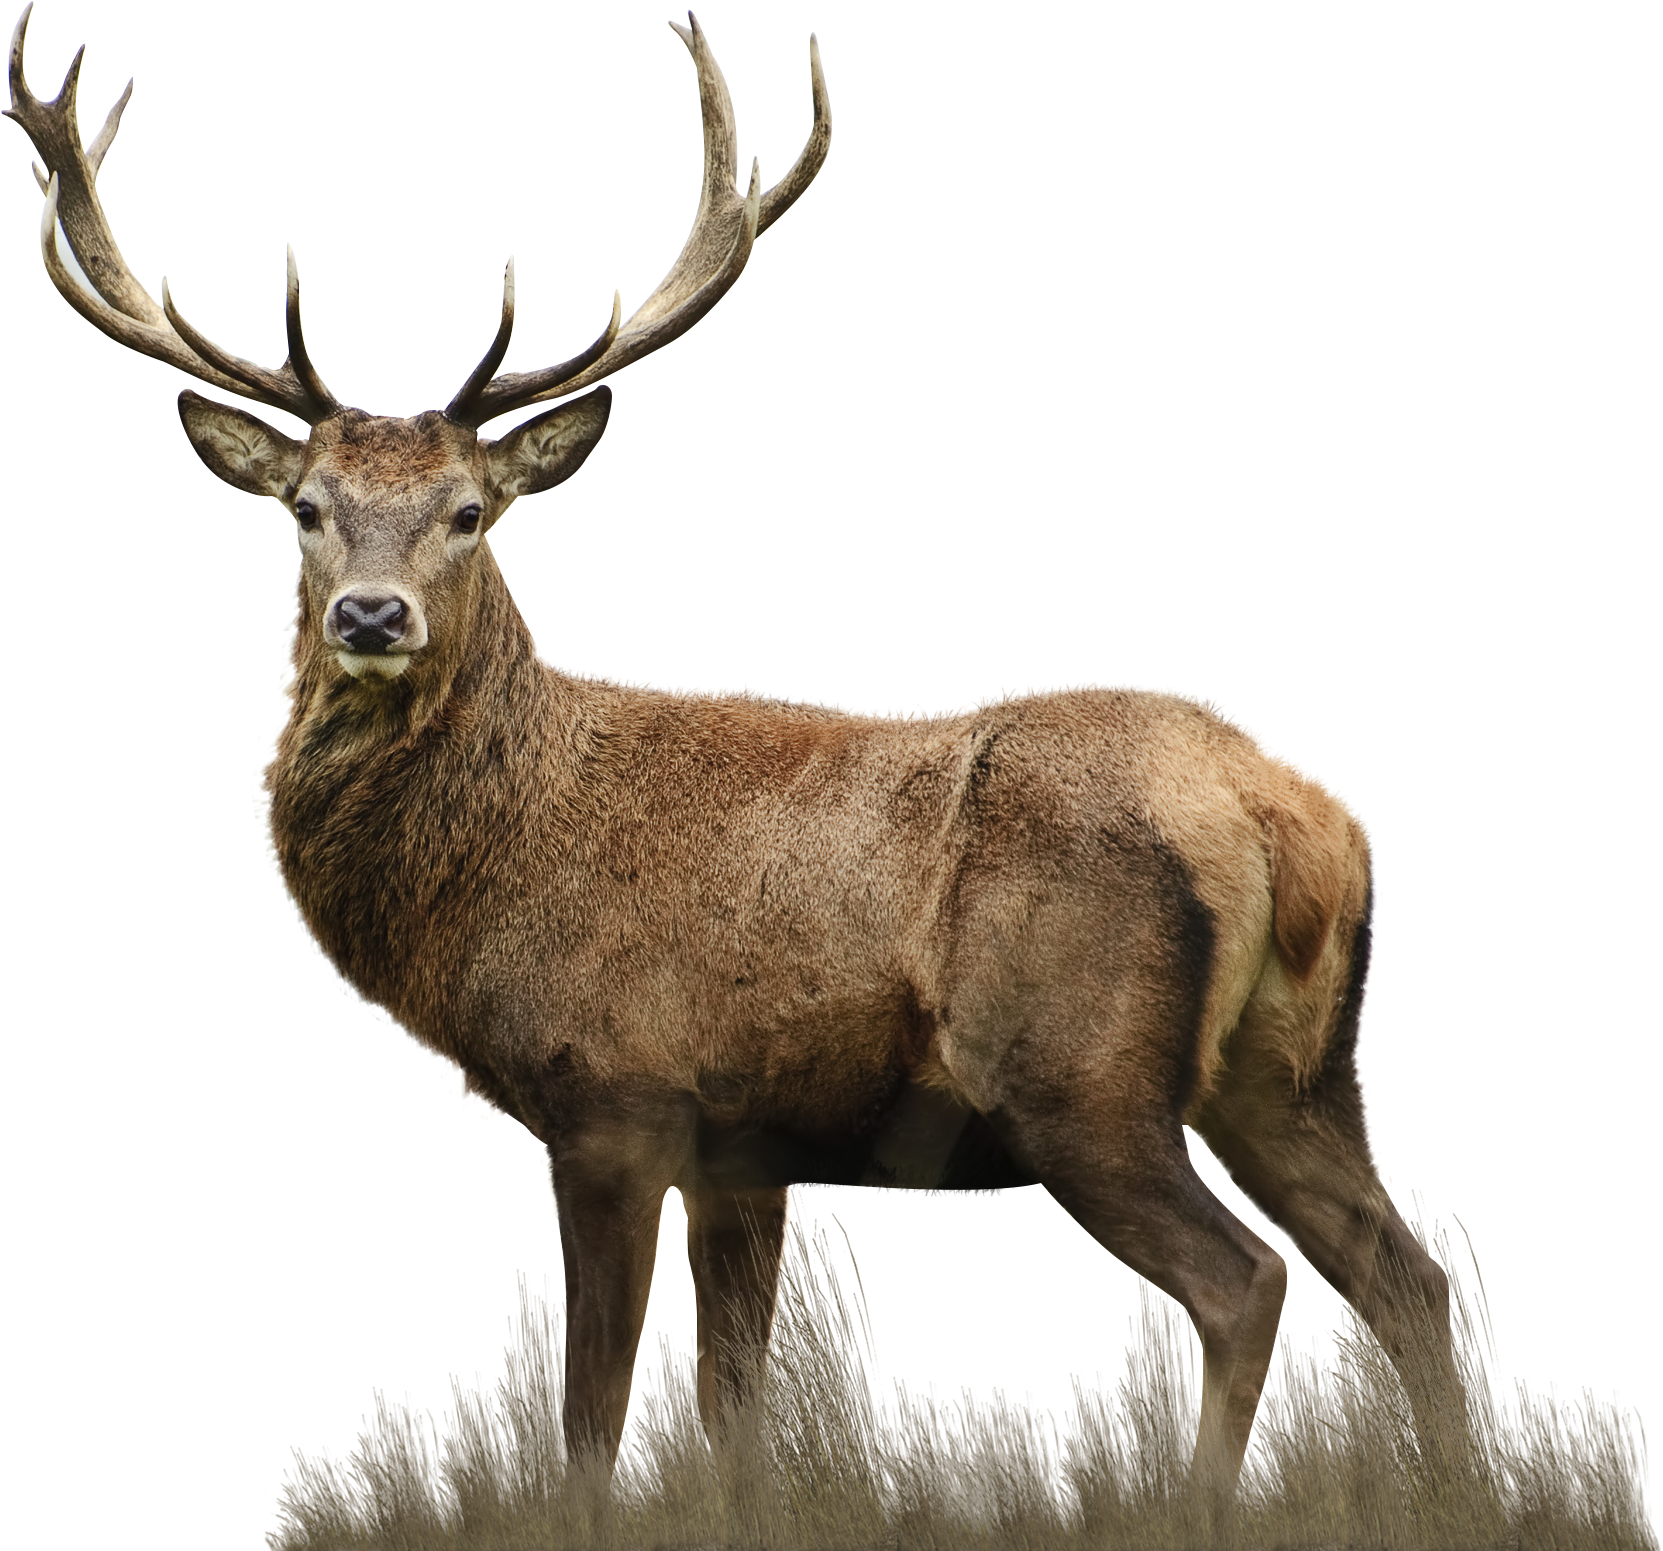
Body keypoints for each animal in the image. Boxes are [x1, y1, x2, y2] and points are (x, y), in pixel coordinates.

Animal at [9, 2, 1455, 1476]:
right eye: (305, 506)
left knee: (1246, 1279)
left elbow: (594, 1407)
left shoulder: (614, 1095)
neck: (487, 888)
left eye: (472, 512)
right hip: (1296, 1070)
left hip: (1081, 1073)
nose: (369, 612)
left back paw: (1210, 1487)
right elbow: (728, 1402)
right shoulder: (742, 1151)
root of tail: (1292, 812)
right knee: (1407, 1274)